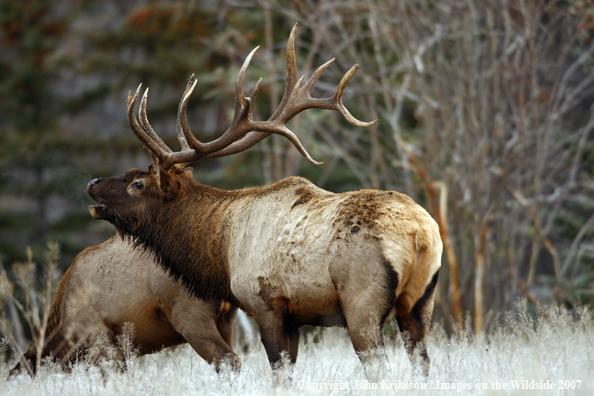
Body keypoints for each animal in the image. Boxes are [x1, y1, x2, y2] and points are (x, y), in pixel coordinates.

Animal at [86, 24, 440, 374]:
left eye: (137, 183)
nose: (92, 183)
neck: (220, 253)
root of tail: (420, 234)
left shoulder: (265, 303)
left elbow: (278, 370)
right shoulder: (294, 319)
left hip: (361, 299)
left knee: (377, 364)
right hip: (420, 302)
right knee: (422, 361)